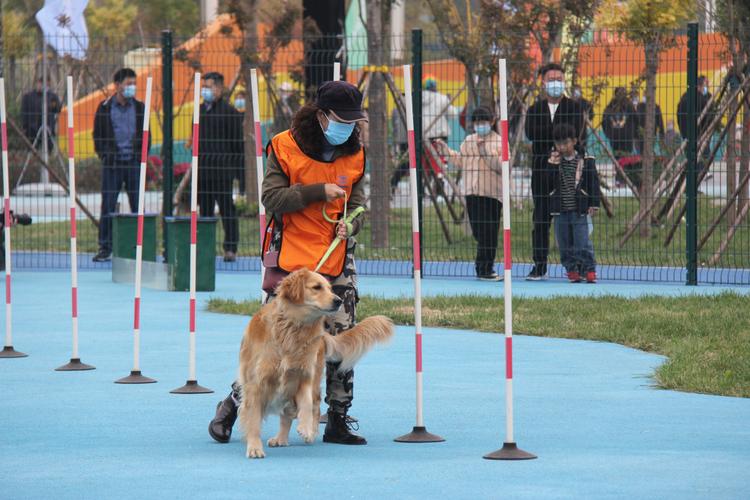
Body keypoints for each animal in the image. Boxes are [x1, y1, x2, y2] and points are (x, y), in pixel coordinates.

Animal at [239, 268, 394, 458]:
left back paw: (291, 435)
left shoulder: (303, 373)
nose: (338, 300)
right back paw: (280, 438)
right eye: (317, 287)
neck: (292, 328)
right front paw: (254, 447)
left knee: (312, 404)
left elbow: (306, 403)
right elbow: (253, 419)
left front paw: (306, 428)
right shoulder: (256, 383)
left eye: (330, 288)